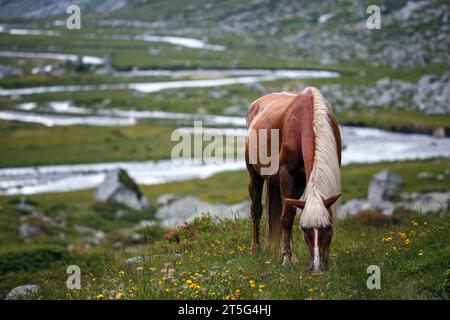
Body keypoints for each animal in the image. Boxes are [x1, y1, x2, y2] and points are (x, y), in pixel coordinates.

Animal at [246, 87, 342, 272]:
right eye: (304, 229)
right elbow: (287, 218)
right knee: (257, 210)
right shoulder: (286, 174)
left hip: (297, 184)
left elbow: (290, 214)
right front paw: (286, 259)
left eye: (327, 227)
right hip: (255, 176)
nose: (317, 268)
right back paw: (256, 248)